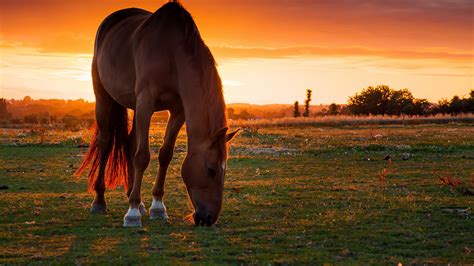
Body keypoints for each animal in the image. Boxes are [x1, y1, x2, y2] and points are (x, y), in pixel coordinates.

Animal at [75, 1, 239, 228]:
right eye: (211, 170)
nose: (209, 218)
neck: (171, 53)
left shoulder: (178, 111)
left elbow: (165, 154)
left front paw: (157, 207)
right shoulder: (146, 103)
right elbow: (142, 156)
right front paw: (132, 213)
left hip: (134, 106)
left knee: (130, 143)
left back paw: (136, 199)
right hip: (104, 97)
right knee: (106, 143)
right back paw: (100, 201)